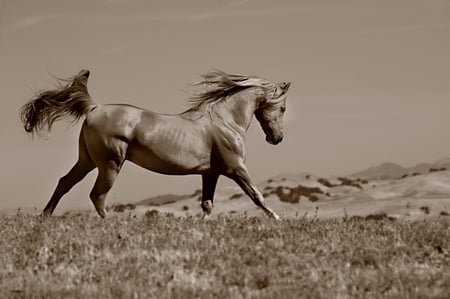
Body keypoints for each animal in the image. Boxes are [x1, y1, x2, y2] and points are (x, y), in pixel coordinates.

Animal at [20, 69, 292, 220]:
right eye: (283, 108)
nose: (276, 139)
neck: (225, 121)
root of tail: (94, 108)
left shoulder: (210, 173)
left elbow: (207, 205)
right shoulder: (235, 168)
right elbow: (257, 195)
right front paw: (278, 219)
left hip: (87, 161)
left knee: (64, 183)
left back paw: (45, 217)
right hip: (110, 164)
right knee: (97, 195)